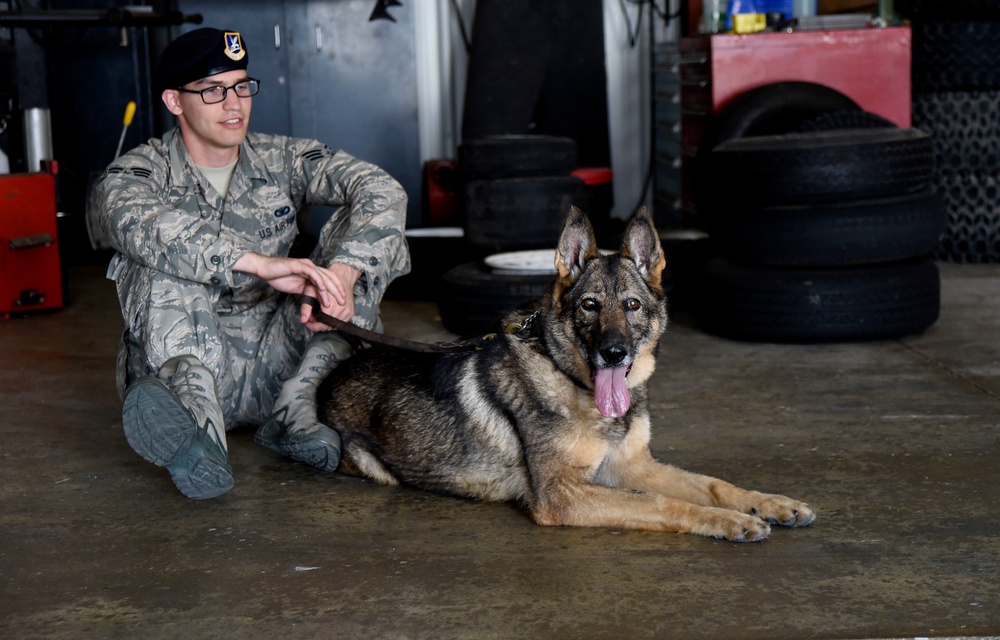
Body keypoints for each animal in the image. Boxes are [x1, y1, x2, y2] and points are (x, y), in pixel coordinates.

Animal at [316, 208, 816, 544]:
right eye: (589, 306)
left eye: (632, 305)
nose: (613, 353)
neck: (571, 380)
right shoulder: (565, 493)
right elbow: (661, 502)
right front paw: (730, 521)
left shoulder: (632, 466)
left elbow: (713, 484)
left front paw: (772, 504)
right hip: (370, 463)